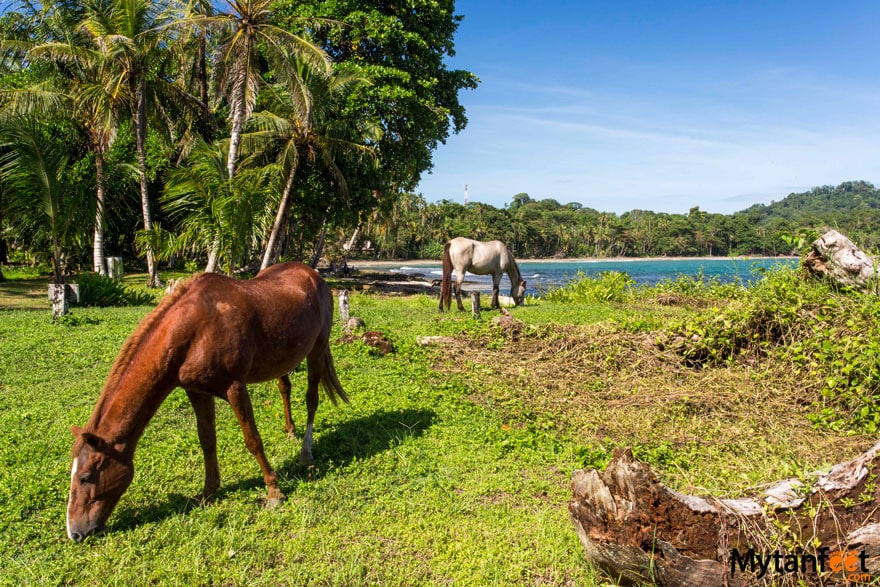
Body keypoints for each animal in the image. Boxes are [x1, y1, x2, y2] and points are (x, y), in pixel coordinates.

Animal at [66, 262, 347, 542]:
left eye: (86, 477)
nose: (75, 532)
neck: (193, 331)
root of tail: (313, 275)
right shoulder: (197, 391)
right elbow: (207, 441)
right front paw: (209, 492)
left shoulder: (234, 388)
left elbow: (253, 440)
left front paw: (274, 492)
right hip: (284, 357)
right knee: (284, 388)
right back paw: (290, 431)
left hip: (317, 348)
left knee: (311, 399)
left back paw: (305, 450)